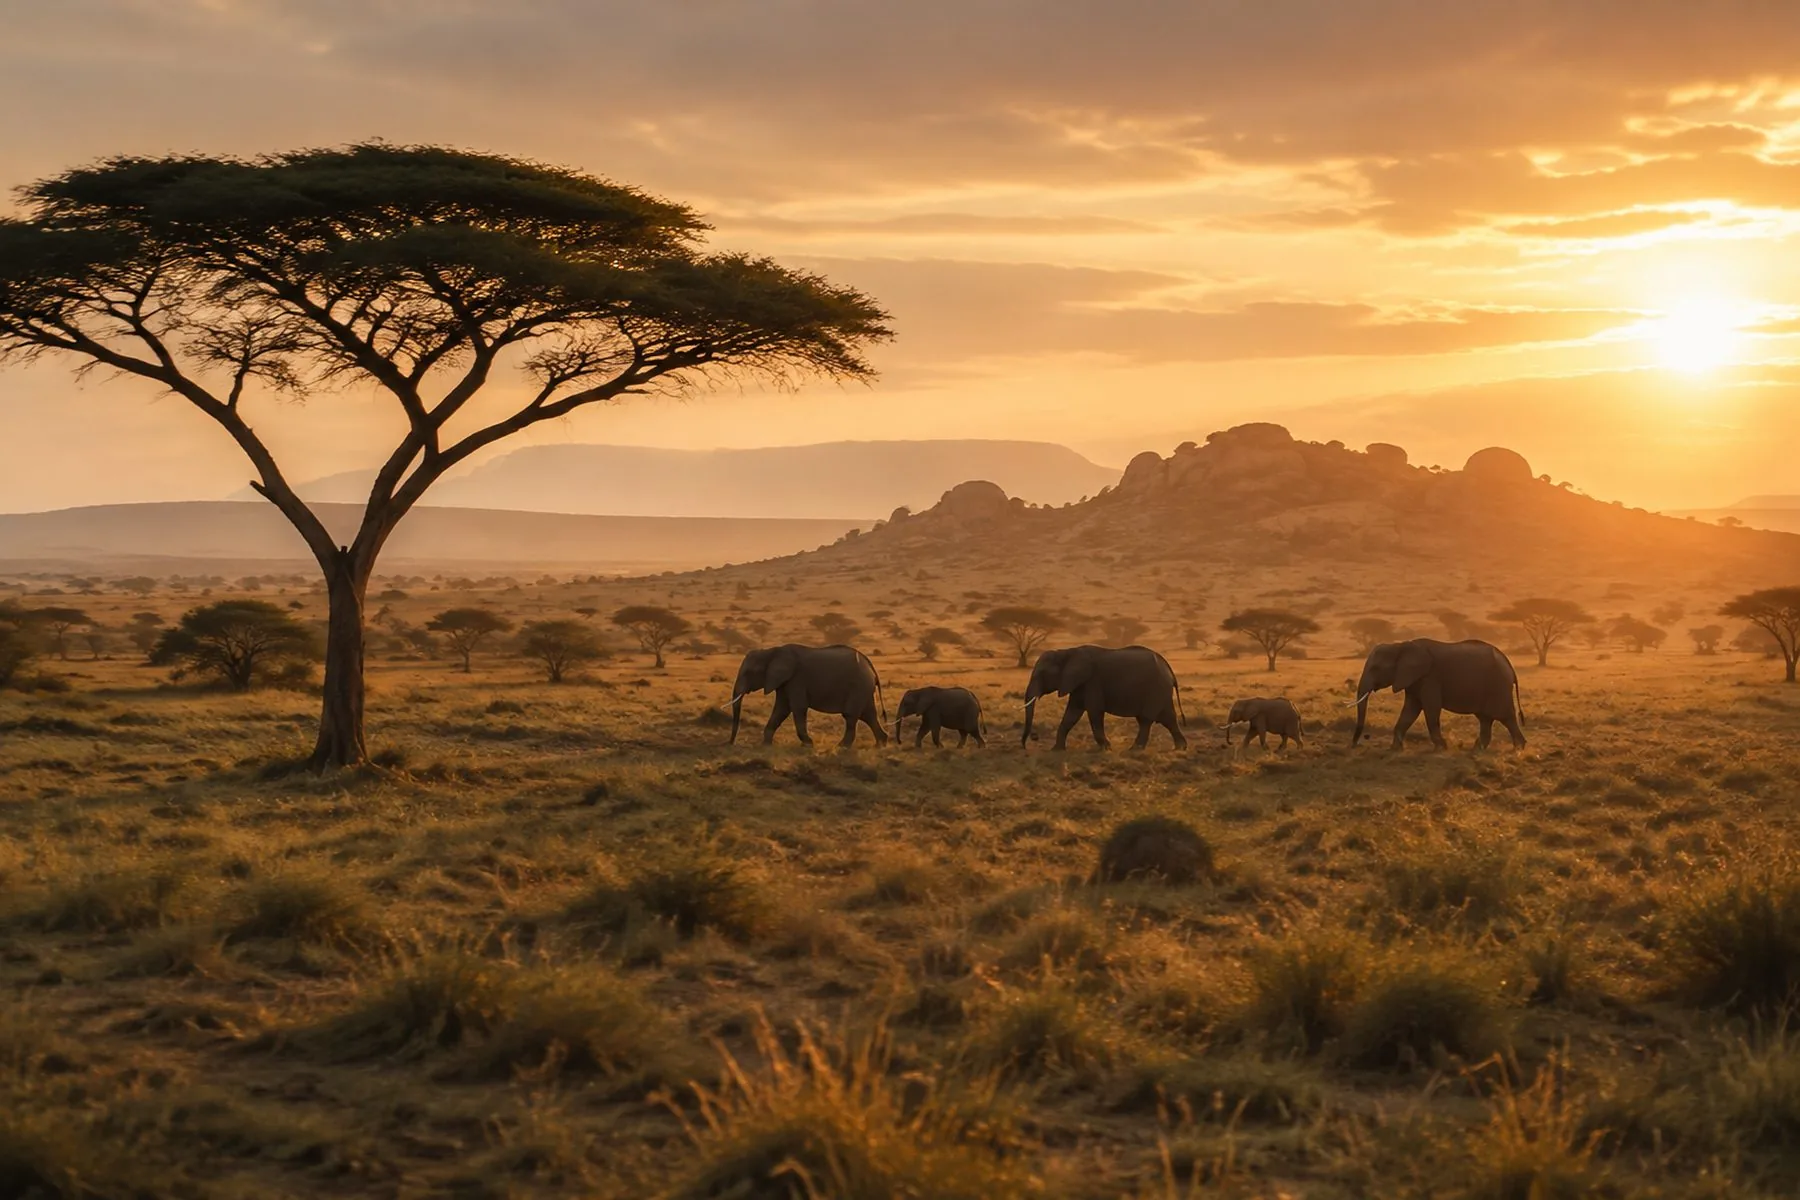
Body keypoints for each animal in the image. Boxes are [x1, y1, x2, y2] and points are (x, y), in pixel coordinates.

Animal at [729, 644, 888, 747]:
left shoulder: (796, 679)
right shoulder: (784, 682)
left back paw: (842, 747)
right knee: (868, 715)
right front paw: (766, 745)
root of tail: (870, 665)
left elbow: (797, 708)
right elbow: (781, 709)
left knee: (851, 715)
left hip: (858, 686)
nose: (730, 743)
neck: (772, 651)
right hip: (864, 689)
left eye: (748, 673)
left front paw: (808, 744)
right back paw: (881, 744)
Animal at [1021, 645, 1187, 750]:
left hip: (1156, 689)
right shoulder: (1079, 684)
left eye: (1041, 674)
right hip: (1161, 692)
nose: (1025, 746)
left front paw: (1107, 748)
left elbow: (1094, 713)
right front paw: (1056, 750)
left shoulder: (1092, 682)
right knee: (1167, 718)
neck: (1066, 652)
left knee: (1146, 720)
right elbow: (1072, 714)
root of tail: (1169, 669)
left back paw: (1134, 750)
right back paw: (1181, 748)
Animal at [1351, 638, 1524, 750]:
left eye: (1375, 668)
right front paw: (1395, 748)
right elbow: (1410, 710)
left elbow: (1431, 709)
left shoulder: (1430, 678)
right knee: (1485, 719)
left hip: (1498, 687)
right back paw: (1478, 749)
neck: (1400, 646)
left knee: (1506, 717)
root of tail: (1510, 666)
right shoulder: (1414, 680)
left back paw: (1519, 748)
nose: (1354, 745)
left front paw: (1442, 747)